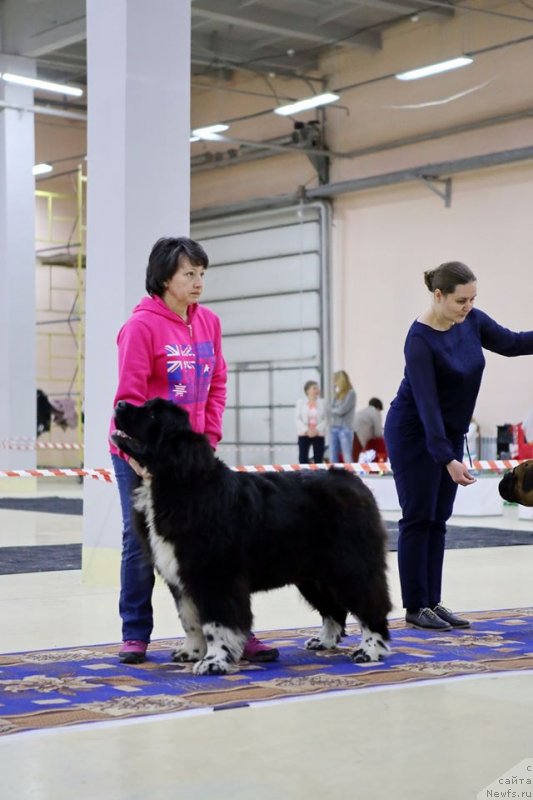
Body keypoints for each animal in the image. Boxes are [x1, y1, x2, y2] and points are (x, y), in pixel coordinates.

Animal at [112, 396, 392, 672]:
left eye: (153, 415)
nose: (120, 404)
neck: (174, 481)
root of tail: (355, 481)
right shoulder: (183, 579)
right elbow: (189, 618)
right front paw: (191, 652)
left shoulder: (215, 576)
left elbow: (216, 623)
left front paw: (213, 662)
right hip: (313, 575)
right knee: (333, 609)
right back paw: (324, 641)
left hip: (350, 565)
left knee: (371, 604)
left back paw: (369, 650)